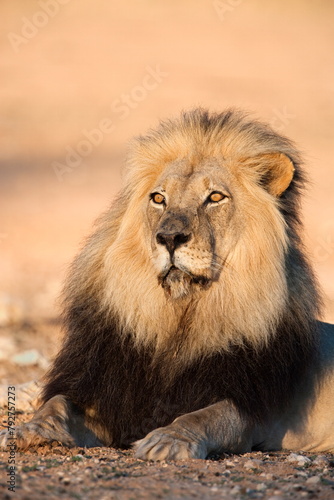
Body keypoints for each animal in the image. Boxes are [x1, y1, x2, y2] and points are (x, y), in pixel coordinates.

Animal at [0, 107, 334, 458]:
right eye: (159, 198)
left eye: (215, 197)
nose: (169, 237)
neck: (177, 314)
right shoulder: (106, 394)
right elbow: (57, 402)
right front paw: (28, 429)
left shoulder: (249, 410)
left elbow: (205, 415)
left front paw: (168, 440)